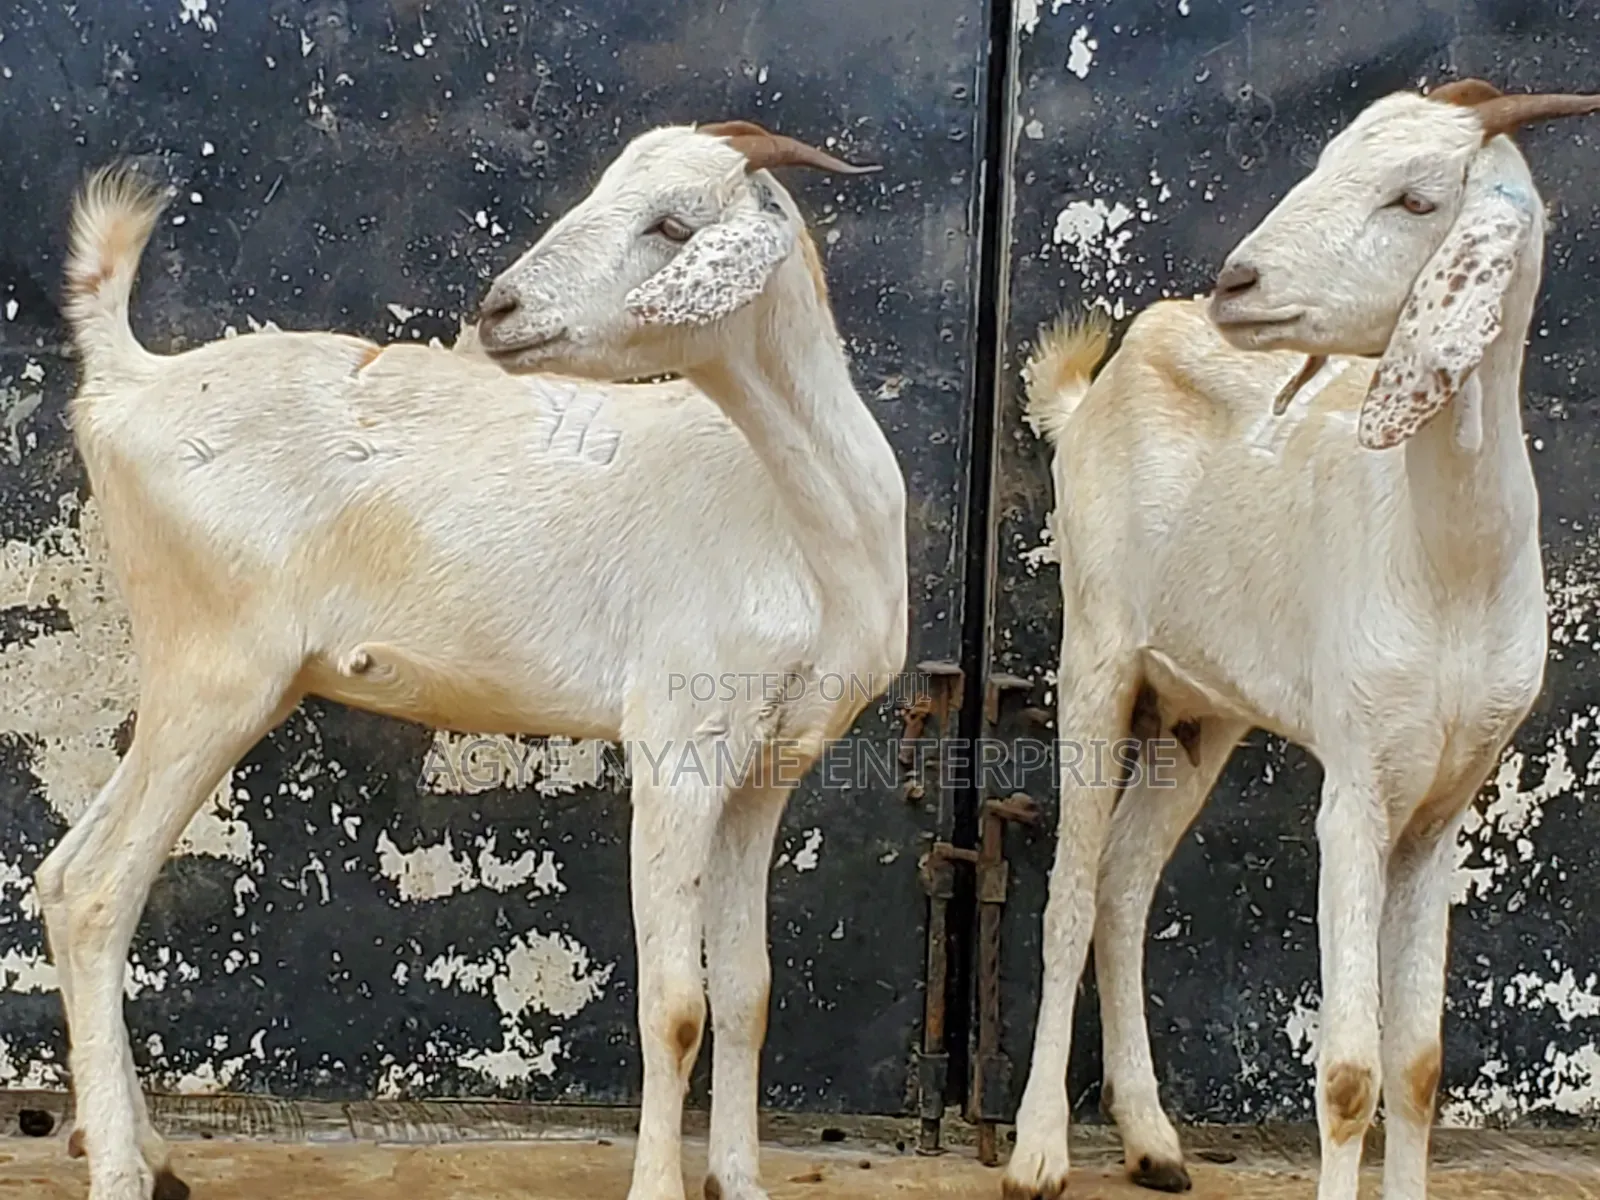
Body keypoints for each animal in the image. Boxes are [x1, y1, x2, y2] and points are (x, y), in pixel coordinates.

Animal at [39, 120, 906, 1200]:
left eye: (671, 225)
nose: (499, 310)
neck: (797, 511)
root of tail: (134, 382)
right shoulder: (677, 742)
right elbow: (676, 1007)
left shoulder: (767, 765)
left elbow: (747, 992)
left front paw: (741, 1182)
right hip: (214, 670)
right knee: (96, 895)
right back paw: (120, 1167)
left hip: (197, 682)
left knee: (59, 875)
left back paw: (143, 1148)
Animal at [1003, 80, 1600, 1200]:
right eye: (1327, 159)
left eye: (1416, 197)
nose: (1239, 282)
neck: (1449, 571)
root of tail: (1095, 389)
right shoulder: (1358, 790)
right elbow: (1351, 1073)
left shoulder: (1442, 808)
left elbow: (1418, 1066)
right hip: (1097, 656)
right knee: (1067, 896)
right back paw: (1037, 1151)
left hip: (1196, 713)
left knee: (1123, 888)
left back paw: (1151, 1138)